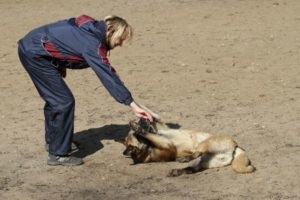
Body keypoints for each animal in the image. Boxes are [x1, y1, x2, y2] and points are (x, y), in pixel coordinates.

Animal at [123, 105, 254, 176]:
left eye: (141, 120)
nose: (142, 120)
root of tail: (236, 147)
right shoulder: (166, 143)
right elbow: (148, 133)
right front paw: (138, 128)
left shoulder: (160, 125)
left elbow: (151, 113)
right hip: (204, 149)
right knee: (193, 163)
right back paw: (180, 165)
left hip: (205, 150)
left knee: (194, 160)